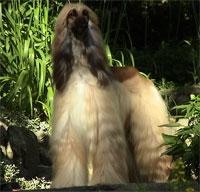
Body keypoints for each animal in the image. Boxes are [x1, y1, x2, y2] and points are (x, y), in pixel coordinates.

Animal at [49, 2, 170, 188]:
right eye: (72, 14)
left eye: (86, 13)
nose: (84, 24)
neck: (81, 72)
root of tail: (138, 73)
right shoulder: (69, 127)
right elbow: (70, 157)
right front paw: (69, 184)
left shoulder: (104, 124)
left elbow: (107, 153)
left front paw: (105, 181)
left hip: (148, 124)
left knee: (155, 152)